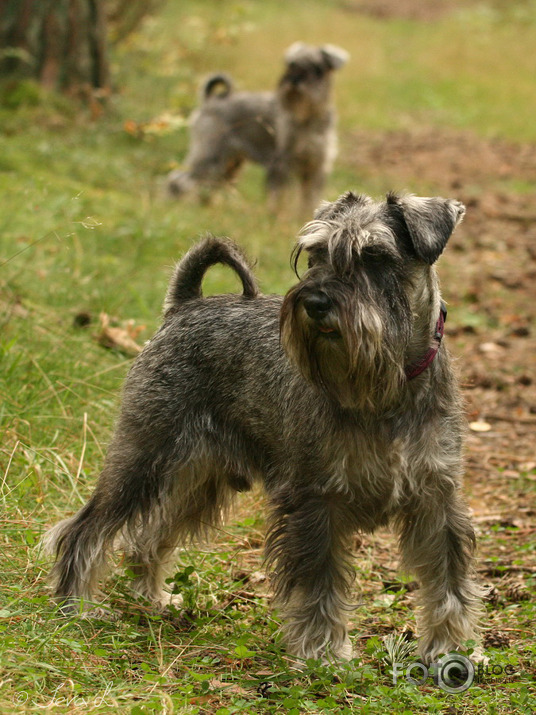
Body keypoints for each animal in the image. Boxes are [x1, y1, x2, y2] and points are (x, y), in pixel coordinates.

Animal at [46, 192, 484, 664]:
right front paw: (324, 655)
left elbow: (448, 584)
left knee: (149, 535)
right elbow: (319, 586)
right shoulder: (316, 500)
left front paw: (451, 650)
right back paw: (77, 605)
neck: (389, 386)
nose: (314, 302)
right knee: (86, 528)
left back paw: (153, 597)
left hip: (199, 480)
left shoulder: (437, 499)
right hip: (143, 456)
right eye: (315, 255)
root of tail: (185, 305)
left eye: (375, 256)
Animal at [170, 42, 350, 214]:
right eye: (291, 64)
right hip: (209, 155)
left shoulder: (316, 167)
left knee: (209, 185)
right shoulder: (281, 164)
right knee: (180, 180)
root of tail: (209, 101)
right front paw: (278, 215)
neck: (308, 117)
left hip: (229, 163)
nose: (294, 80)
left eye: (317, 68)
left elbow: (311, 198)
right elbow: (280, 195)